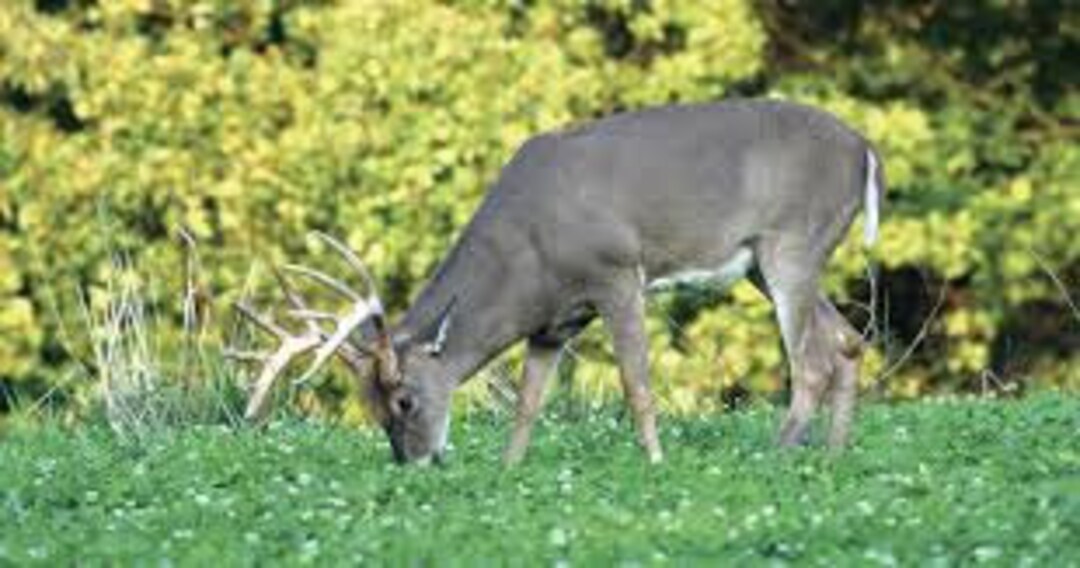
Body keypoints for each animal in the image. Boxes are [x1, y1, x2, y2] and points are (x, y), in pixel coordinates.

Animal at [229, 100, 884, 466]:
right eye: (369, 407)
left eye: (405, 399)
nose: (414, 463)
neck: (529, 253)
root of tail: (866, 150)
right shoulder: (554, 320)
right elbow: (527, 402)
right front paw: (508, 469)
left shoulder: (616, 273)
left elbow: (636, 384)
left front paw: (655, 462)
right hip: (764, 265)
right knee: (848, 341)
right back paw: (831, 457)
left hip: (791, 242)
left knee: (812, 359)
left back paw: (776, 455)